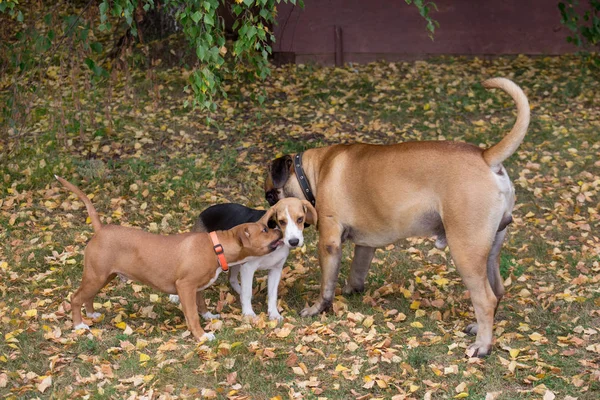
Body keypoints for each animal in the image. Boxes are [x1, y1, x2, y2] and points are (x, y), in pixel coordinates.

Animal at [56, 175, 282, 340]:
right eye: (265, 229)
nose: (280, 230)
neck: (216, 246)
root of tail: (101, 229)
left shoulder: (196, 288)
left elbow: (201, 305)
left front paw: (209, 316)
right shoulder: (186, 286)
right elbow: (192, 315)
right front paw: (202, 336)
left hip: (102, 276)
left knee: (87, 296)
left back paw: (91, 314)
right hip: (96, 276)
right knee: (75, 298)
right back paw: (79, 325)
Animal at [264, 78, 528, 356]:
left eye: (271, 196)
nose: (269, 217)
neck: (314, 171)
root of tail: (487, 157)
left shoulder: (329, 242)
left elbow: (326, 284)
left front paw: (317, 308)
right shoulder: (365, 245)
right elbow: (357, 269)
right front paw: (351, 289)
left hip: (466, 249)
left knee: (485, 298)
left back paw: (482, 345)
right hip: (490, 249)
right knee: (497, 291)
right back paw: (479, 328)